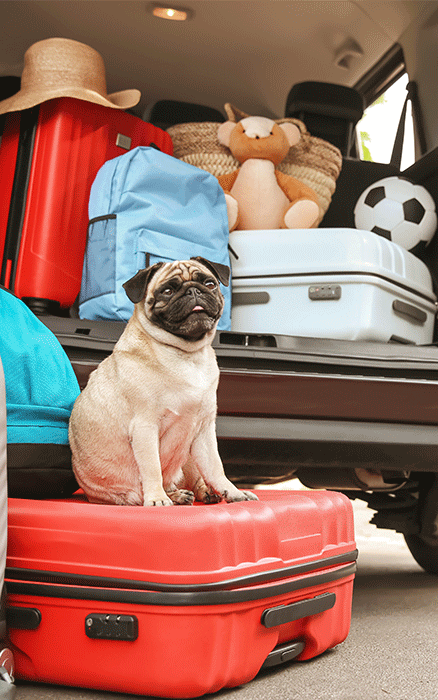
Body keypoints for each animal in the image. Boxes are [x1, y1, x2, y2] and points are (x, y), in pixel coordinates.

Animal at [69, 254, 258, 506]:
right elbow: (152, 468)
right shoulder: (145, 427)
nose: (193, 290)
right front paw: (157, 498)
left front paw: (235, 492)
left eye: (209, 284)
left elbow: (216, 468)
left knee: (195, 477)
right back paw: (171, 495)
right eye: (167, 291)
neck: (188, 355)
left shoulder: (204, 431)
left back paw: (200, 493)